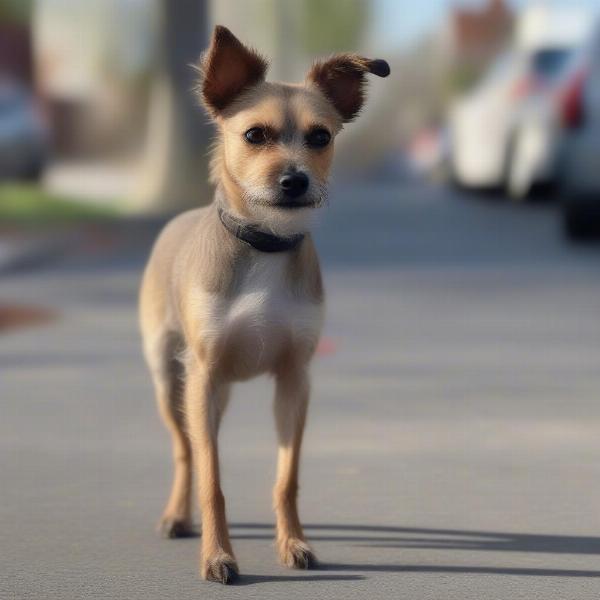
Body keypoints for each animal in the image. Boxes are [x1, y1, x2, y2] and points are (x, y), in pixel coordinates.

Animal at [139, 25, 390, 584]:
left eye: (321, 137)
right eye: (255, 135)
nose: (295, 180)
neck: (265, 244)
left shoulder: (295, 380)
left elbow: (286, 477)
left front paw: (293, 543)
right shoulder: (204, 376)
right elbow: (212, 479)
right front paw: (217, 556)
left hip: (216, 394)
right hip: (173, 382)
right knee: (186, 451)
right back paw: (175, 516)